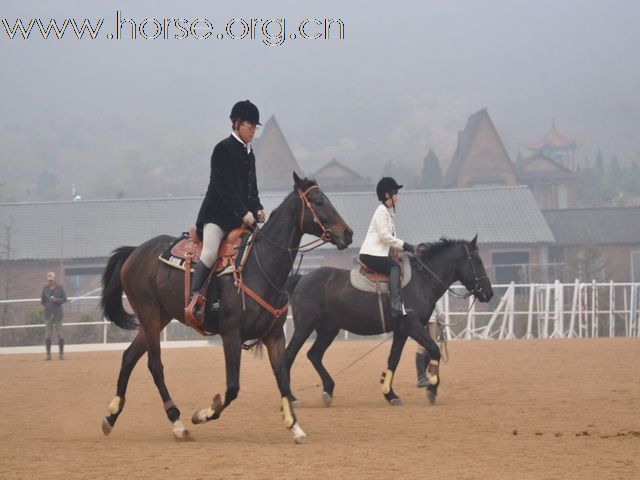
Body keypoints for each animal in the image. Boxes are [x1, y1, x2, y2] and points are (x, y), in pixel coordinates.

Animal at [99, 172, 356, 442]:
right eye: (318, 201)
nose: (347, 233)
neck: (260, 268)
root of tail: (135, 252)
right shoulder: (231, 335)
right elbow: (232, 388)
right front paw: (203, 414)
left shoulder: (274, 335)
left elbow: (283, 379)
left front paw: (295, 426)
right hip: (148, 315)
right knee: (155, 365)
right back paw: (177, 422)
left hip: (160, 317)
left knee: (129, 357)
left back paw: (111, 416)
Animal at [286, 234, 496, 406]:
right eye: (476, 261)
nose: (489, 292)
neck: (422, 280)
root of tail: (302, 279)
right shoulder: (413, 327)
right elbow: (435, 350)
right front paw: (432, 388)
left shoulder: (401, 331)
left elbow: (393, 360)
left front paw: (390, 394)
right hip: (304, 328)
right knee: (289, 356)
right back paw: (291, 397)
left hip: (328, 330)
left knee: (314, 355)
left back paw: (328, 389)